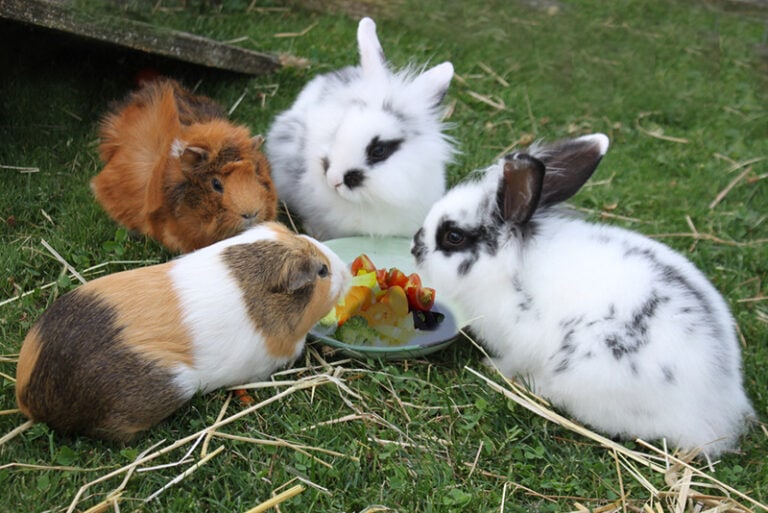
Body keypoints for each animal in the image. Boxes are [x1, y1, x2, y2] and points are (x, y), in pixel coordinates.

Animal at [411, 133, 754, 457]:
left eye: (453, 236)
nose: (415, 247)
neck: (508, 267)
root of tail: (715, 410)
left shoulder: (519, 342)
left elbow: (510, 360)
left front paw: (491, 367)